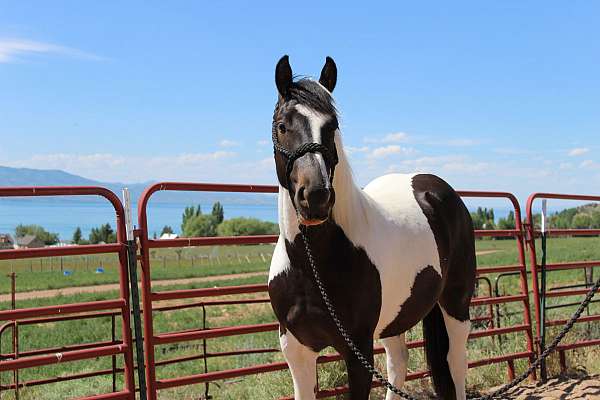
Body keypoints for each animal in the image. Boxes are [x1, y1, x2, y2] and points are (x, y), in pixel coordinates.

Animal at [270, 55, 476, 400]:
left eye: (331, 127)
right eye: (282, 126)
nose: (316, 197)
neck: (310, 263)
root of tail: (437, 189)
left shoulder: (358, 352)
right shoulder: (296, 349)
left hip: (456, 303)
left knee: (455, 362)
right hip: (396, 316)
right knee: (399, 362)